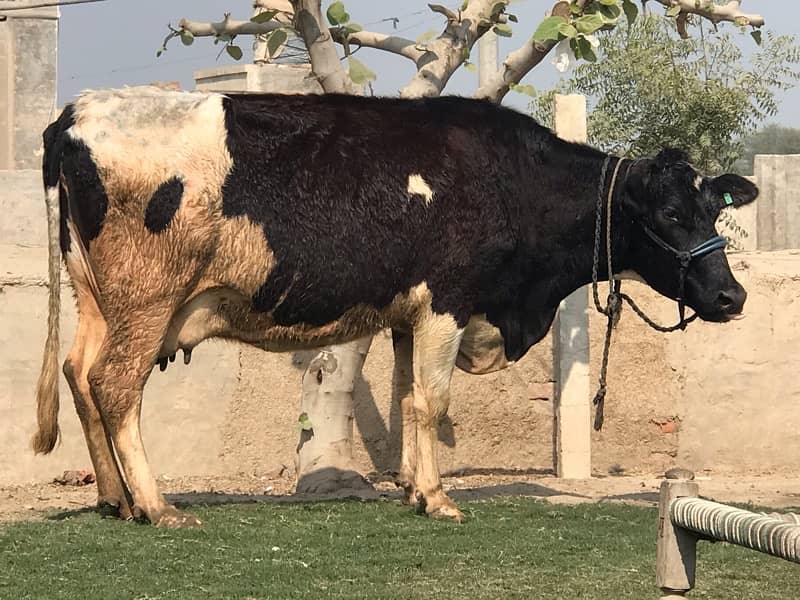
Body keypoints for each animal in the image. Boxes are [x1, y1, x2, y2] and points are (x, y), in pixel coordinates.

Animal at [31, 86, 756, 528]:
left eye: (711, 208)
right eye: (669, 214)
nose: (732, 295)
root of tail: (79, 112)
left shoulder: (410, 316)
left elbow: (409, 394)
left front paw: (411, 484)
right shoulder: (447, 300)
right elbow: (431, 401)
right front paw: (436, 498)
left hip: (96, 299)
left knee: (79, 375)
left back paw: (115, 498)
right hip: (147, 298)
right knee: (114, 384)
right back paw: (157, 505)